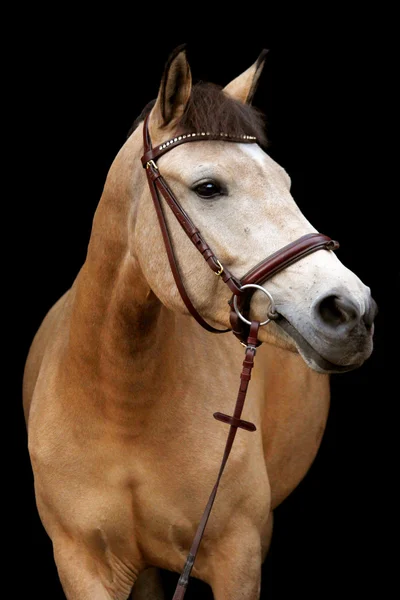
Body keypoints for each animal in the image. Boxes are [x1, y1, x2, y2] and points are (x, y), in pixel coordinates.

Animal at [23, 47, 376, 600]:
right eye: (209, 187)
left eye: (286, 184)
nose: (351, 310)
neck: (121, 402)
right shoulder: (81, 565)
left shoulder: (238, 558)